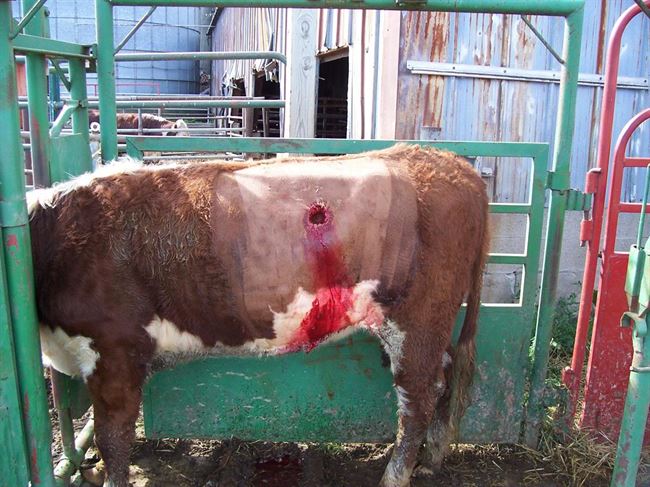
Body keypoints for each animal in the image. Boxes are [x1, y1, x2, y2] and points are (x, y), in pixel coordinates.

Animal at [27, 144, 489, 487]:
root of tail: (448, 161)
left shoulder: (113, 351)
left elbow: (114, 438)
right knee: (445, 373)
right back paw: (432, 459)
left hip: (417, 320)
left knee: (418, 398)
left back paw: (396, 475)